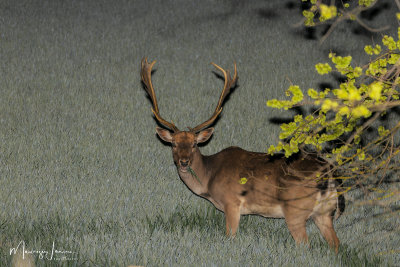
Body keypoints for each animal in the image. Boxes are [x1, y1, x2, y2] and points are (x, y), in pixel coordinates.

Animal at [141, 58, 344, 253]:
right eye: (174, 144)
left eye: (194, 144)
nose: (183, 162)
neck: (209, 179)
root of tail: (329, 176)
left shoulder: (232, 202)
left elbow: (230, 237)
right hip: (324, 213)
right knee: (335, 244)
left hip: (295, 210)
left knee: (305, 244)